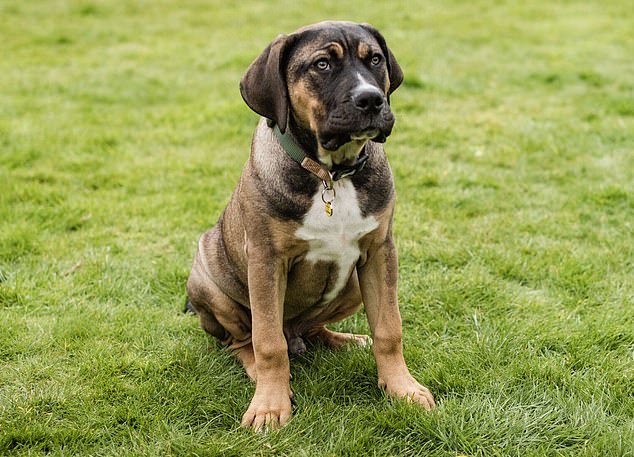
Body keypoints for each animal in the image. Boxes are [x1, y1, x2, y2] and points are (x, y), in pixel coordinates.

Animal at [186, 20, 434, 428]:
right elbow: (268, 342)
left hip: (353, 283)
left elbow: (389, 328)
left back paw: (345, 340)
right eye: (322, 64)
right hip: (207, 278)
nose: (371, 100)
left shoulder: (380, 251)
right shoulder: (266, 261)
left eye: (375, 59)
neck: (330, 174)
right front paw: (269, 406)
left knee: (313, 329)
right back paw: (257, 369)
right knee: (242, 341)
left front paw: (403, 388)